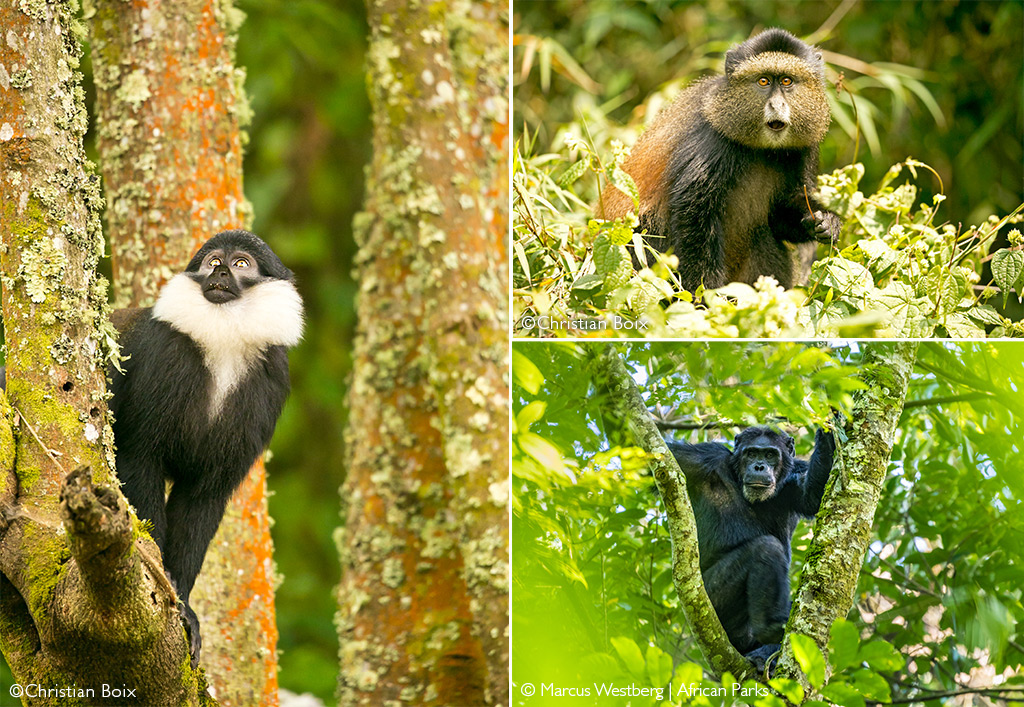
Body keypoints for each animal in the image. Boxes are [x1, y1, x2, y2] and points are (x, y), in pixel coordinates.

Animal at [111, 228, 305, 663]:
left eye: (241, 264)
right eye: (213, 260)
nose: (218, 272)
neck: (223, 343)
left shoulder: (271, 381)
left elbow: (204, 494)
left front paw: (183, 603)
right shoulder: (164, 353)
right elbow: (138, 457)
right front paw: (158, 577)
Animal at [598, 28, 839, 290]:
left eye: (787, 81)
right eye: (763, 81)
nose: (777, 104)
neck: (763, 149)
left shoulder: (804, 146)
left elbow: (780, 211)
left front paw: (826, 222)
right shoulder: (712, 140)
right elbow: (693, 211)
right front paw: (706, 294)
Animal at [667, 424, 835, 668]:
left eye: (770, 455)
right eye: (752, 453)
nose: (759, 466)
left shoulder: (798, 471)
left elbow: (813, 495)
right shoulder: (701, 459)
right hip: (709, 599)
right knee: (765, 549)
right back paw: (770, 630)